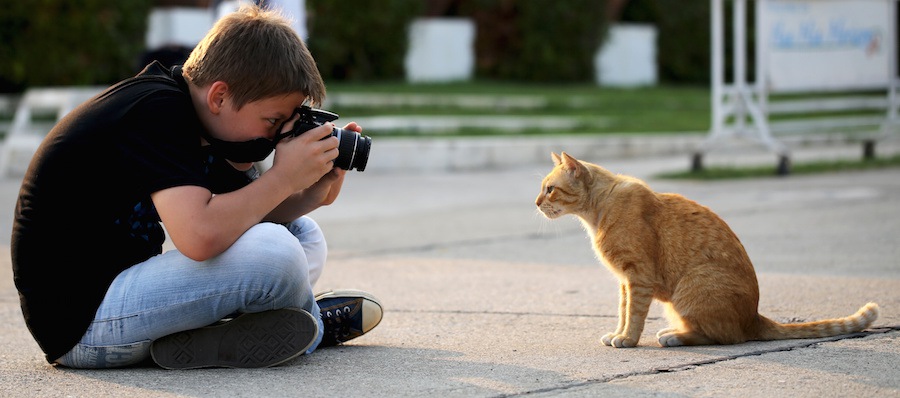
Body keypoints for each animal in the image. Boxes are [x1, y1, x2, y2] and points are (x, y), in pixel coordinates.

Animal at [536, 152, 880, 348]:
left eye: (550, 189)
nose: (536, 203)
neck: (598, 213)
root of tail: (754, 317)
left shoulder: (638, 277)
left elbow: (634, 314)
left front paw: (628, 340)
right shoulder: (625, 281)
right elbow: (623, 311)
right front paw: (617, 333)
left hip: (691, 288)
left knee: (723, 337)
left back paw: (673, 337)